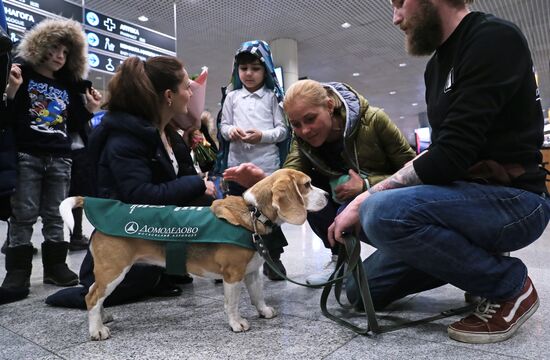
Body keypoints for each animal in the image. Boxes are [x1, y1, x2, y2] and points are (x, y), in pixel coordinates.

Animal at [60, 169, 328, 340]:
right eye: (307, 185)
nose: (327, 195)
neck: (253, 212)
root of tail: (93, 204)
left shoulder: (252, 272)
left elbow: (258, 295)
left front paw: (264, 311)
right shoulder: (232, 275)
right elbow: (232, 304)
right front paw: (236, 323)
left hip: (108, 273)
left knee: (94, 293)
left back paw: (102, 317)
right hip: (114, 271)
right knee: (91, 297)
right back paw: (96, 331)